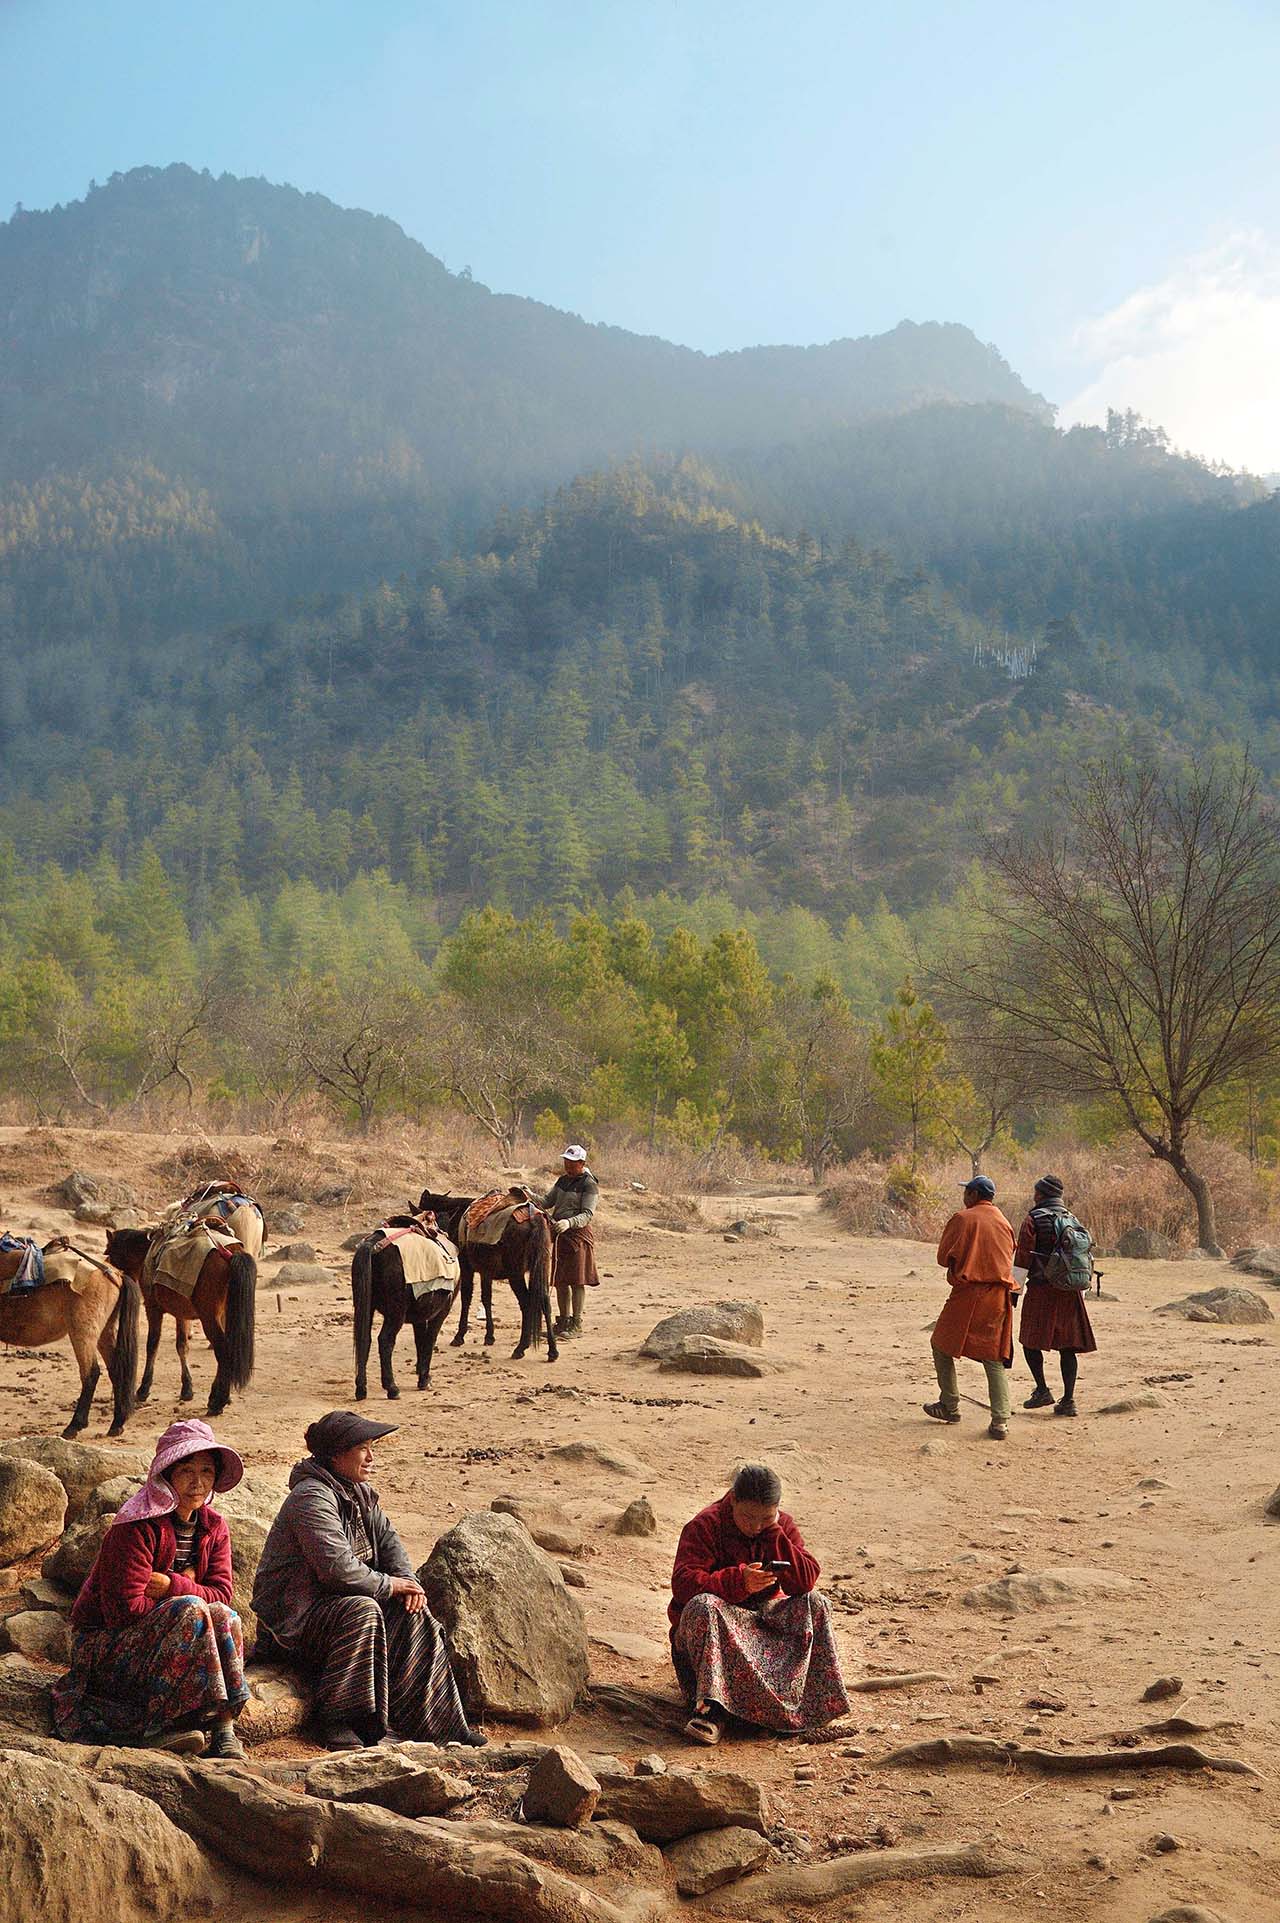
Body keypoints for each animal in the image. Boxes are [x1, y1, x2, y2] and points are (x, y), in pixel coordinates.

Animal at [0, 1238, 140, 1438]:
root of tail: (113, 1273)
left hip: (83, 1332)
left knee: (91, 1373)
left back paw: (74, 1426)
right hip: (104, 1333)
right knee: (116, 1370)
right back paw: (116, 1424)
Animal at [104, 1223, 257, 1423]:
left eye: (110, 1254)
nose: (114, 1279)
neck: (146, 1251)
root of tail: (231, 1253)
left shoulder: (153, 1308)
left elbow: (152, 1345)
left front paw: (144, 1389)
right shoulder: (181, 1314)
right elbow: (182, 1346)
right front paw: (187, 1389)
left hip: (209, 1317)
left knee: (223, 1350)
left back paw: (218, 1402)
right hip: (224, 1315)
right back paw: (219, 1396)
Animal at [349, 1215, 459, 1399]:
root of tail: (372, 1246)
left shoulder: (420, 1315)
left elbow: (420, 1340)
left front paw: (422, 1376)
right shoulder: (441, 1312)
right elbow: (429, 1340)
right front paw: (424, 1379)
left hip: (365, 1306)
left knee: (364, 1339)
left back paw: (361, 1389)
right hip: (396, 1313)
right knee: (385, 1340)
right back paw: (392, 1388)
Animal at [417, 1184, 557, 1369]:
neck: (455, 1213)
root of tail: (535, 1218)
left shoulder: (467, 1267)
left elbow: (467, 1297)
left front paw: (459, 1336)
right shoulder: (486, 1272)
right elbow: (486, 1298)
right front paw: (489, 1336)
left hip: (515, 1274)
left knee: (527, 1303)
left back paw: (521, 1348)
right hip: (541, 1267)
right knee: (544, 1301)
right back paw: (552, 1351)